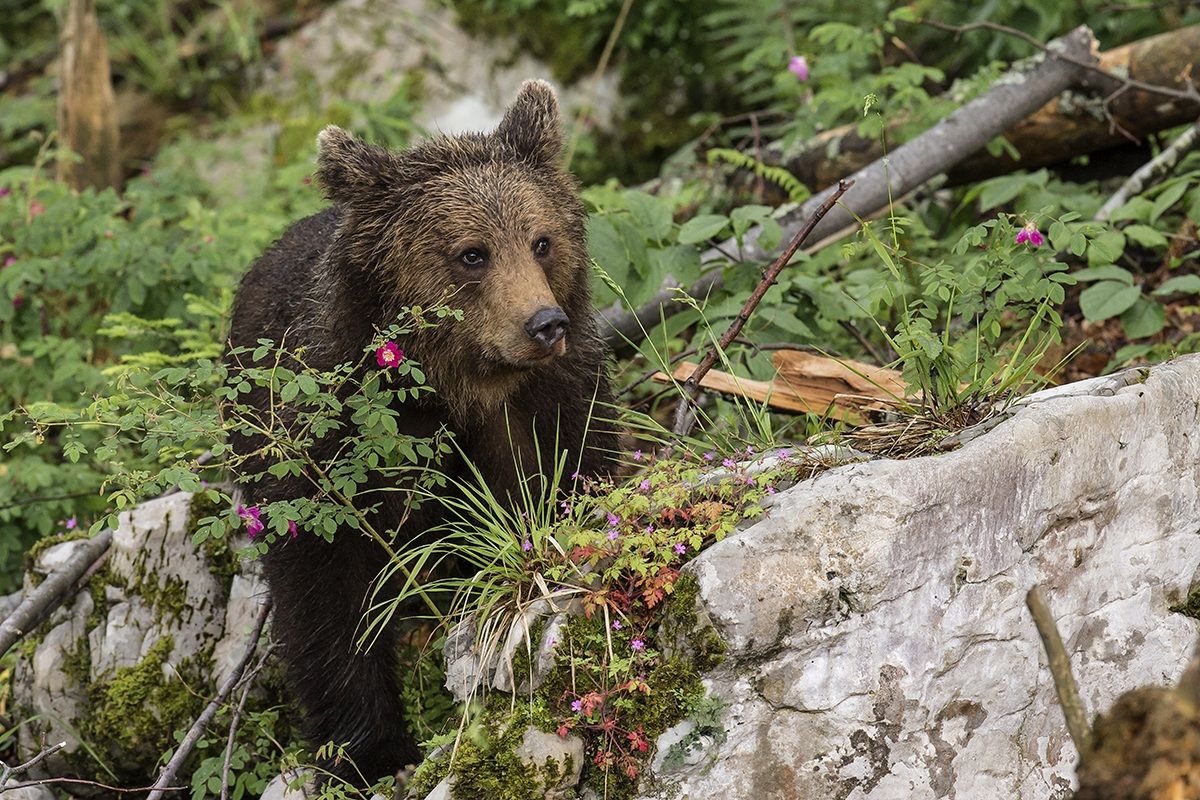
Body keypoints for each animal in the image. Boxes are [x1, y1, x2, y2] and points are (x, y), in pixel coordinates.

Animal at [224, 80, 621, 785]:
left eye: (541, 240)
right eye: (472, 253)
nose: (544, 323)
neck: (454, 384)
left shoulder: (556, 401)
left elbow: (577, 474)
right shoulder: (333, 449)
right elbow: (325, 595)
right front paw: (370, 748)